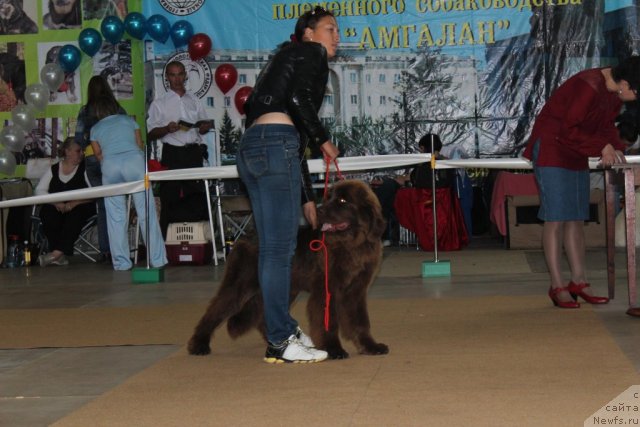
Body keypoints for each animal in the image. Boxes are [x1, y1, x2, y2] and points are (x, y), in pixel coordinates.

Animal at [189, 179, 390, 360]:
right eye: (329, 198)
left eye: (342, 200)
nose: (319, 210)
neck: (352, 245)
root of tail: (243, 237)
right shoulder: (326, 290)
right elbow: (329, 322)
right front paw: (334, 349)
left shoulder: (356, 290)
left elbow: (360, 321)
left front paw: (370, 346)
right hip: (240, 284)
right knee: (214, 311)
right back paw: (198, 345)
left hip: (283, 287)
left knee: (263, 315)